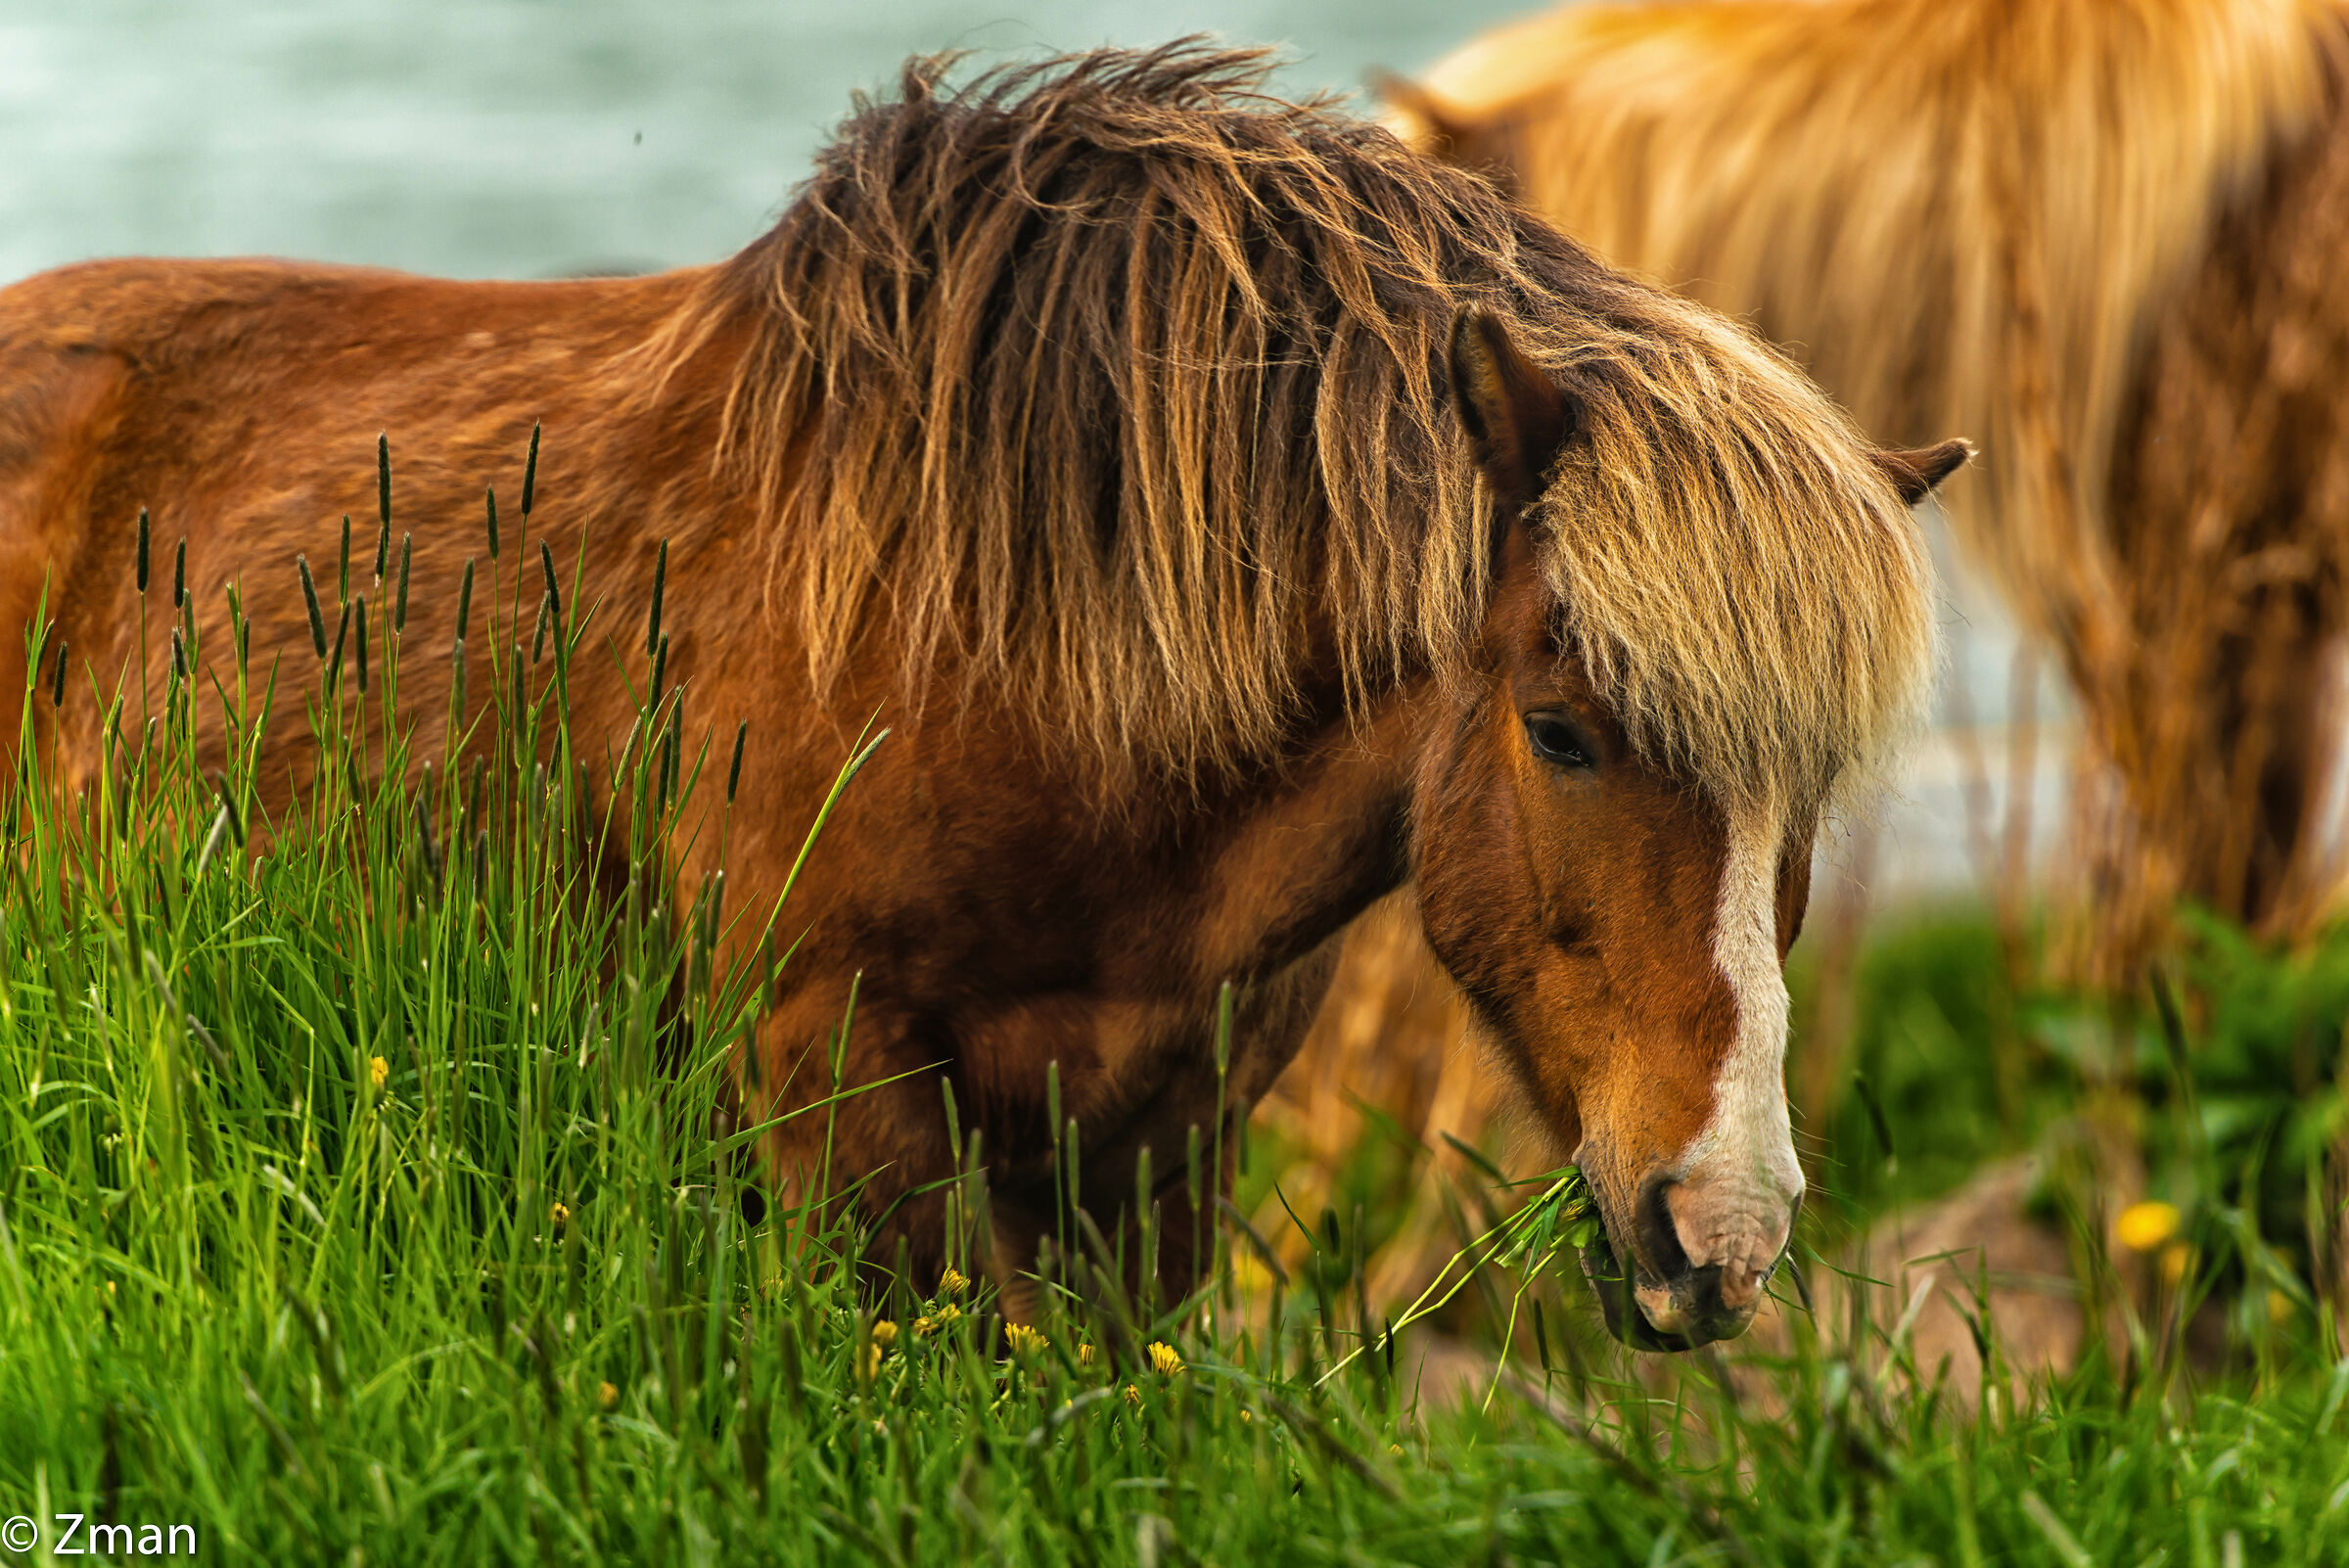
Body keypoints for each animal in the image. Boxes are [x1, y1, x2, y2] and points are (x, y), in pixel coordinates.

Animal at [0, 45, 1958, 1350]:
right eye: (1564, 731)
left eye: (1811, 799)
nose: (1724, 1226)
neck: (1012, 663)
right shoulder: (830, 1091)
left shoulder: (1164, 1142)